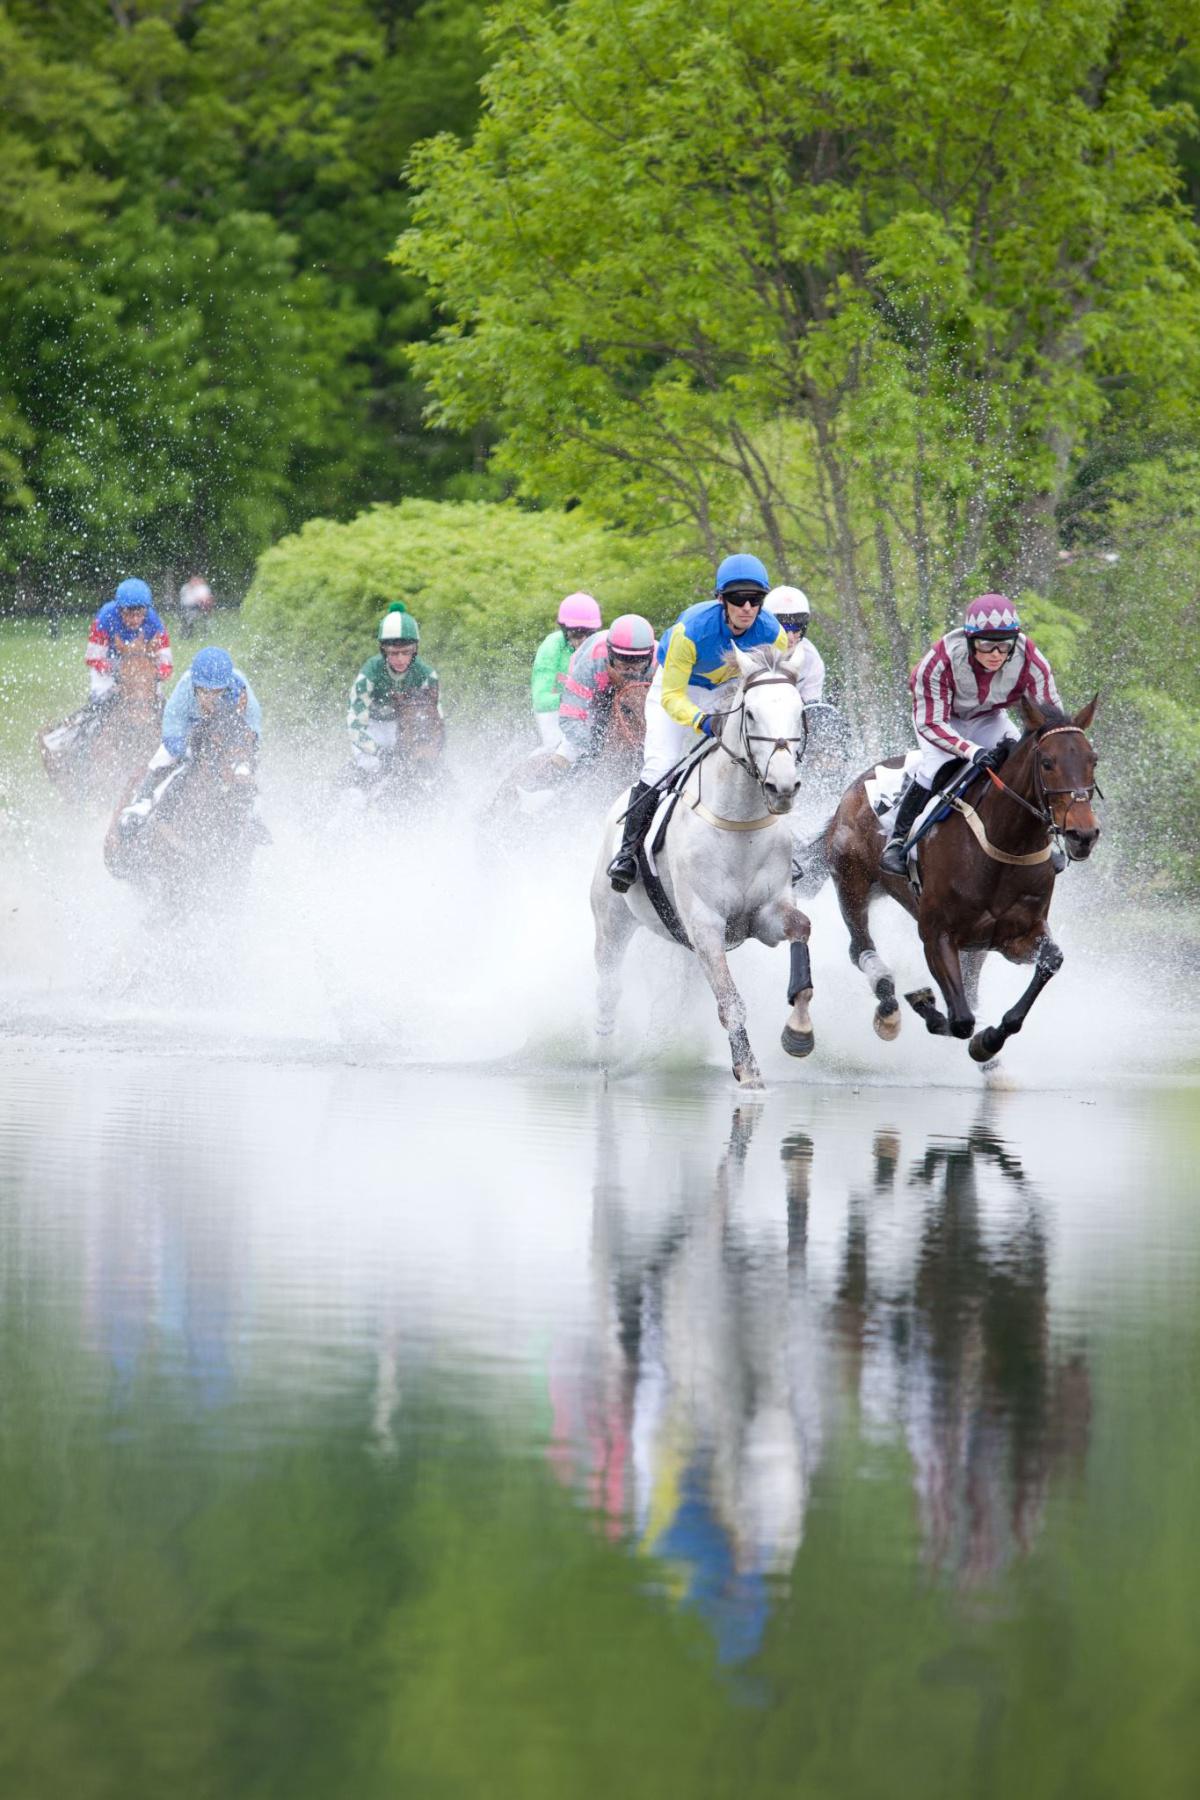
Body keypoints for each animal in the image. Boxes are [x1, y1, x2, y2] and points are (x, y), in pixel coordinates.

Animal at [593, 651, 816, 1087]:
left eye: (799, 711)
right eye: (751, 714)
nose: (782, 788)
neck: (740, 824)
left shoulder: (764, 916)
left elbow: (801, 929)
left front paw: (799, 1033)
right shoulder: (706, 923)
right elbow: (730, 1001)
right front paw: (748, 1071)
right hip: (611, 923)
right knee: (609, 988)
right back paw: (606, 1059)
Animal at [827, 684, 1101, 1051]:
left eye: (1093, 760)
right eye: (1047, 763)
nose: (1083, 834)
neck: (1004, 847)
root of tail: (857, 784)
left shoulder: (1015, 936)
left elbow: (1049, 962)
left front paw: (990, 1039)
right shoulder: (937, 934)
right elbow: (960, 1020)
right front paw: (927, 1006)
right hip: (852, 883)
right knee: (860, 947)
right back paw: (886, 1008)